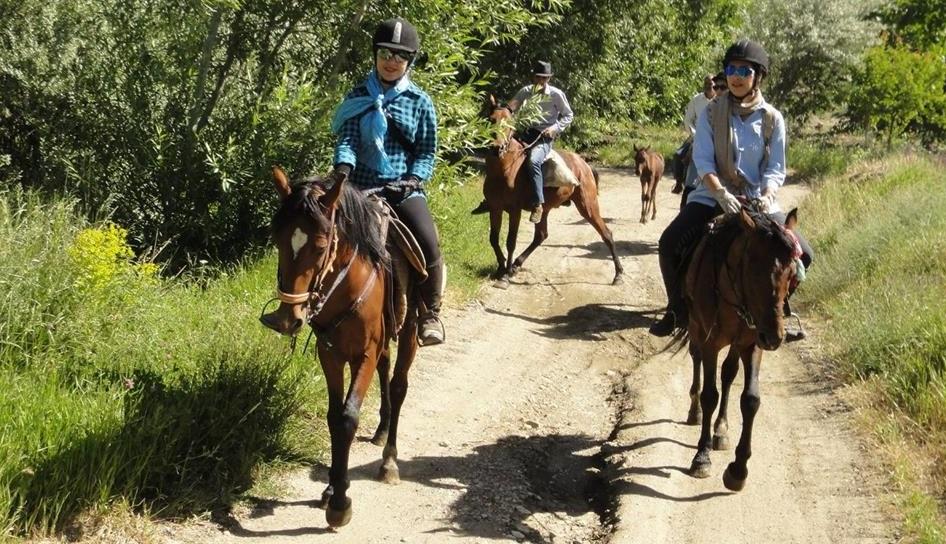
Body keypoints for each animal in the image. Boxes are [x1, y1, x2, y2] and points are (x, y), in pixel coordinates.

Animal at [260, 167, 420, 528]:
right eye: (277, 240)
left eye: (320, 247)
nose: (287, 319)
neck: (347, 286)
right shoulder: (330, 353)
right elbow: (334, 417)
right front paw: (331, 488)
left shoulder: (363, 355)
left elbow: (347, 418)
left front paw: (340, 504)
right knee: (386, 370)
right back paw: (381, 429)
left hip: (411, 331)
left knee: (399, 385)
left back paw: (389, 462)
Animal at [483, 95, 623, 286]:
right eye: (491, 119)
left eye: (510, 123)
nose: (497, 148)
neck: (503, 171)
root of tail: (584, 164)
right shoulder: (495, 208)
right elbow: (493, 238)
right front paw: (501, 267)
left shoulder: (514, 211)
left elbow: (511, 241)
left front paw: (504, 275)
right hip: (545, 209)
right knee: (541, 236)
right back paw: (516, 265)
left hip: (588, 206)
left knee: (606, 234)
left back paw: (618, 274)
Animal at [678, 206, 802, 491]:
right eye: (754, 272)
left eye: (791, 274)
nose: (775, 337)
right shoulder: (710, 342)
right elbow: (709, 395)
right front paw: (702, 457)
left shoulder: (753, 344)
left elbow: (750, 399)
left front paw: (738, 469)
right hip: (696, 328)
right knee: (697, 359)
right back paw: (695, 412)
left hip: (737, 343)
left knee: (728, 373)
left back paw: (721, 429)